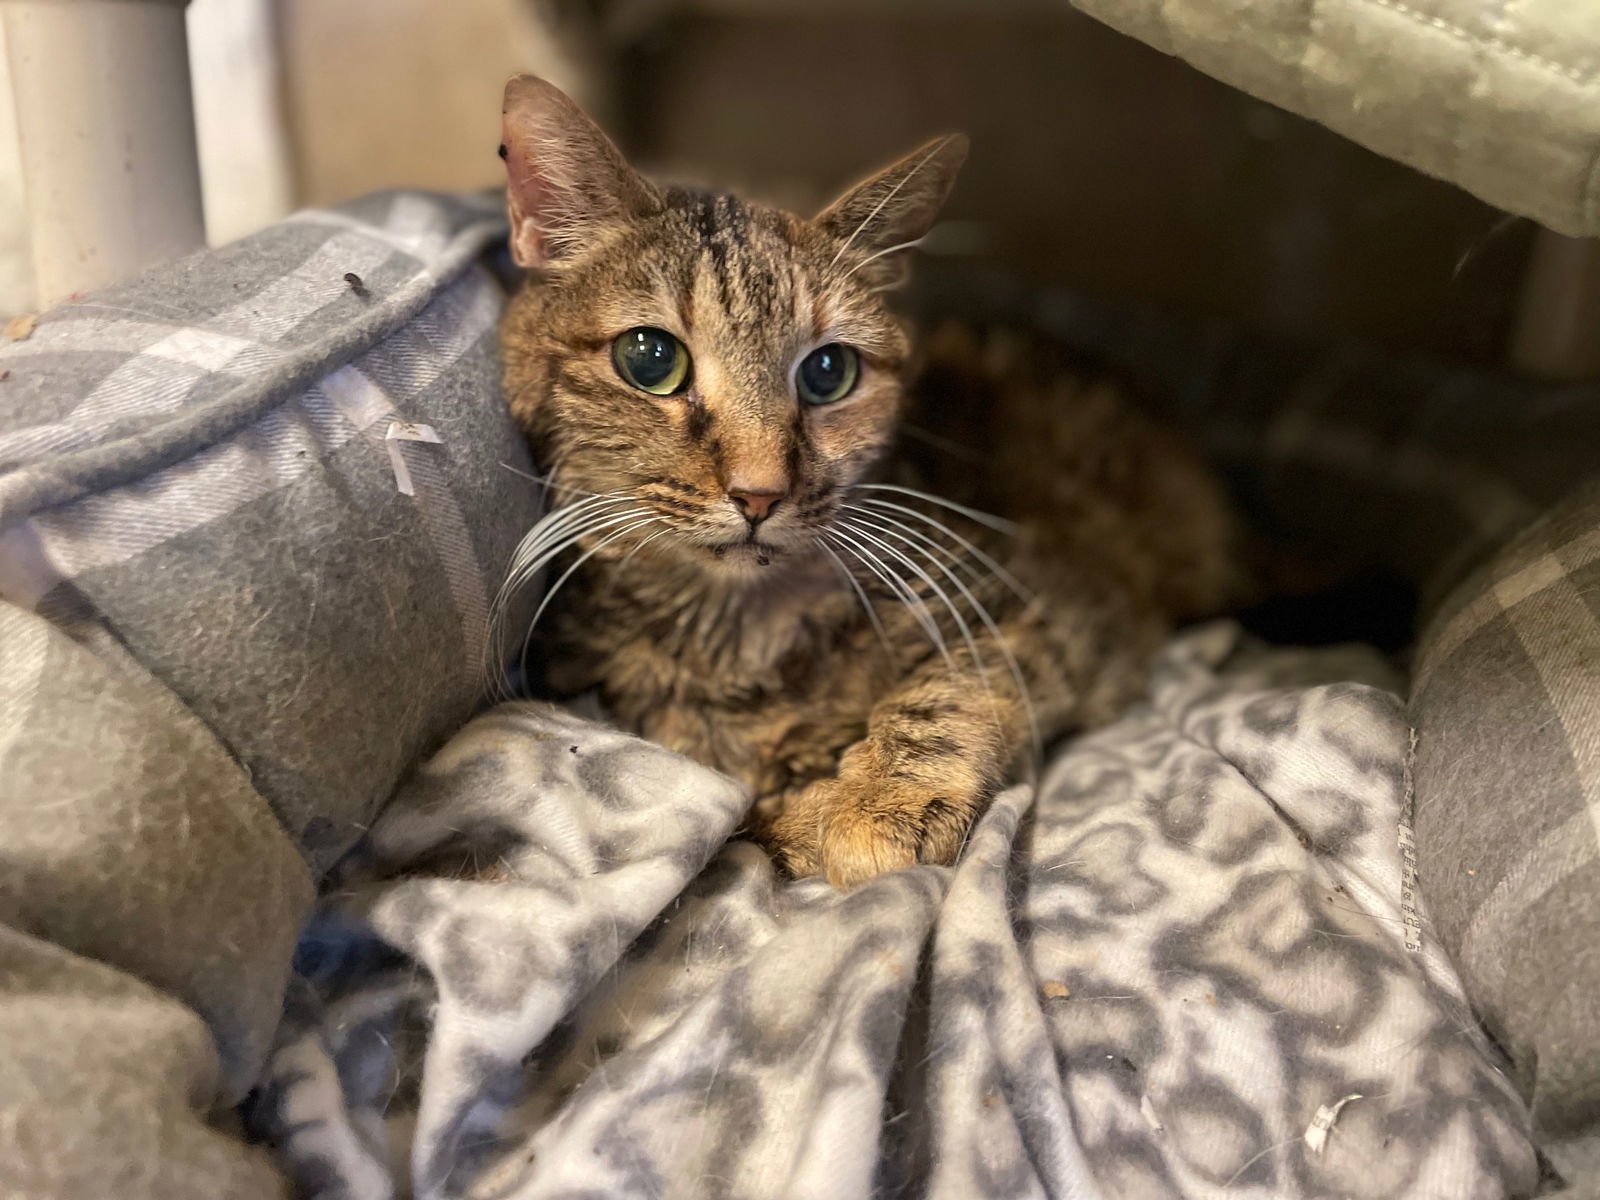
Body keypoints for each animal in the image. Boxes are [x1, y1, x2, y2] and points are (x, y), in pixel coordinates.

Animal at [496, 72, 1235, 883]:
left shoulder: (1061, 612)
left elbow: (951, 689)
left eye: (828, 371)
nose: (759, 493)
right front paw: (808, 809)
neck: (739, 631)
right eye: (649, 358)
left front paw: (878, 801)